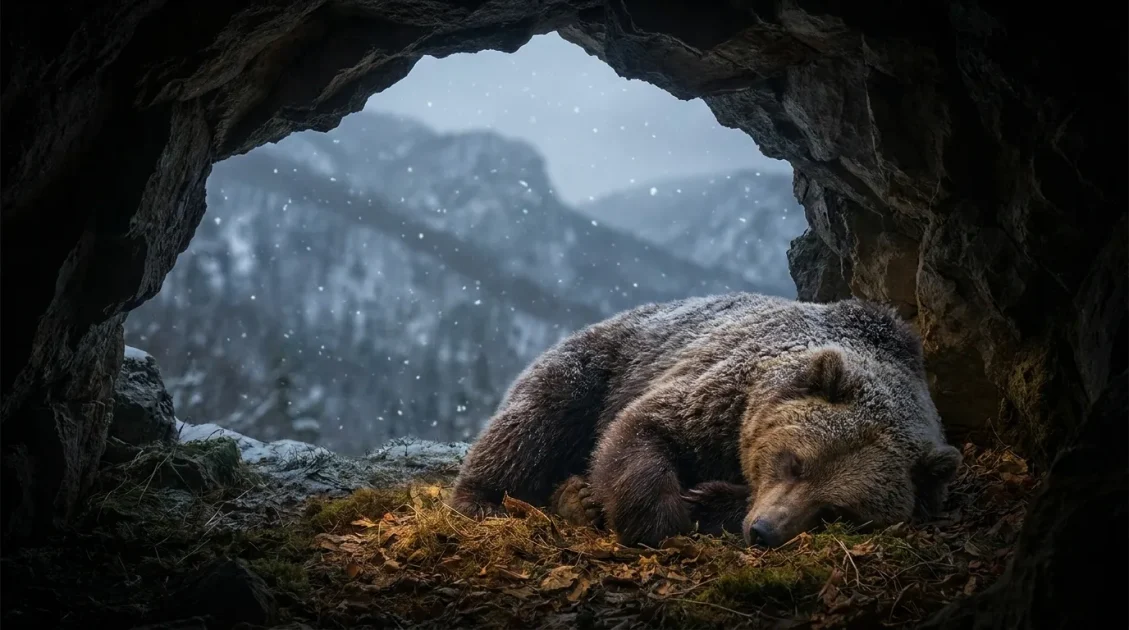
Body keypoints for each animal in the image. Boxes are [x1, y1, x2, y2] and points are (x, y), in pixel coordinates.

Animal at [449, 292, 962, 548]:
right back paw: (489, 500)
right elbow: (645, 428)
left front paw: (706, 500)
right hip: (598, 362)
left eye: (838, 510)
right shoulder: (719, 393)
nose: (765, 531)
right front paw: (657, 518)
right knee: (535, 421)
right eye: (794, 462)